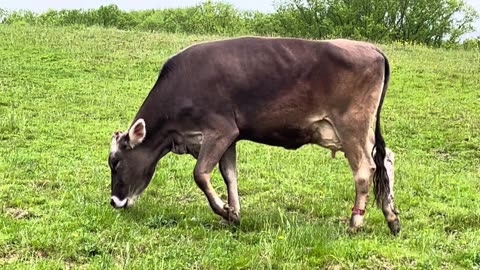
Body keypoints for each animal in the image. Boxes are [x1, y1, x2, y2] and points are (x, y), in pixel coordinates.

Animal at [109, 35, 402, 234]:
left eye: (116, 162)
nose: (114, 201)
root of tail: (371, 48)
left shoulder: (219, 129)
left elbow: (200, 174)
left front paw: (224, 211)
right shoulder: (229, 137)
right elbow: (230, 175)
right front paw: (234, 213)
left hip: (352, 125)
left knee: (365, 168)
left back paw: (355, 223)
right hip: (362, 130)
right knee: (385, 159)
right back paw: (392, 218)